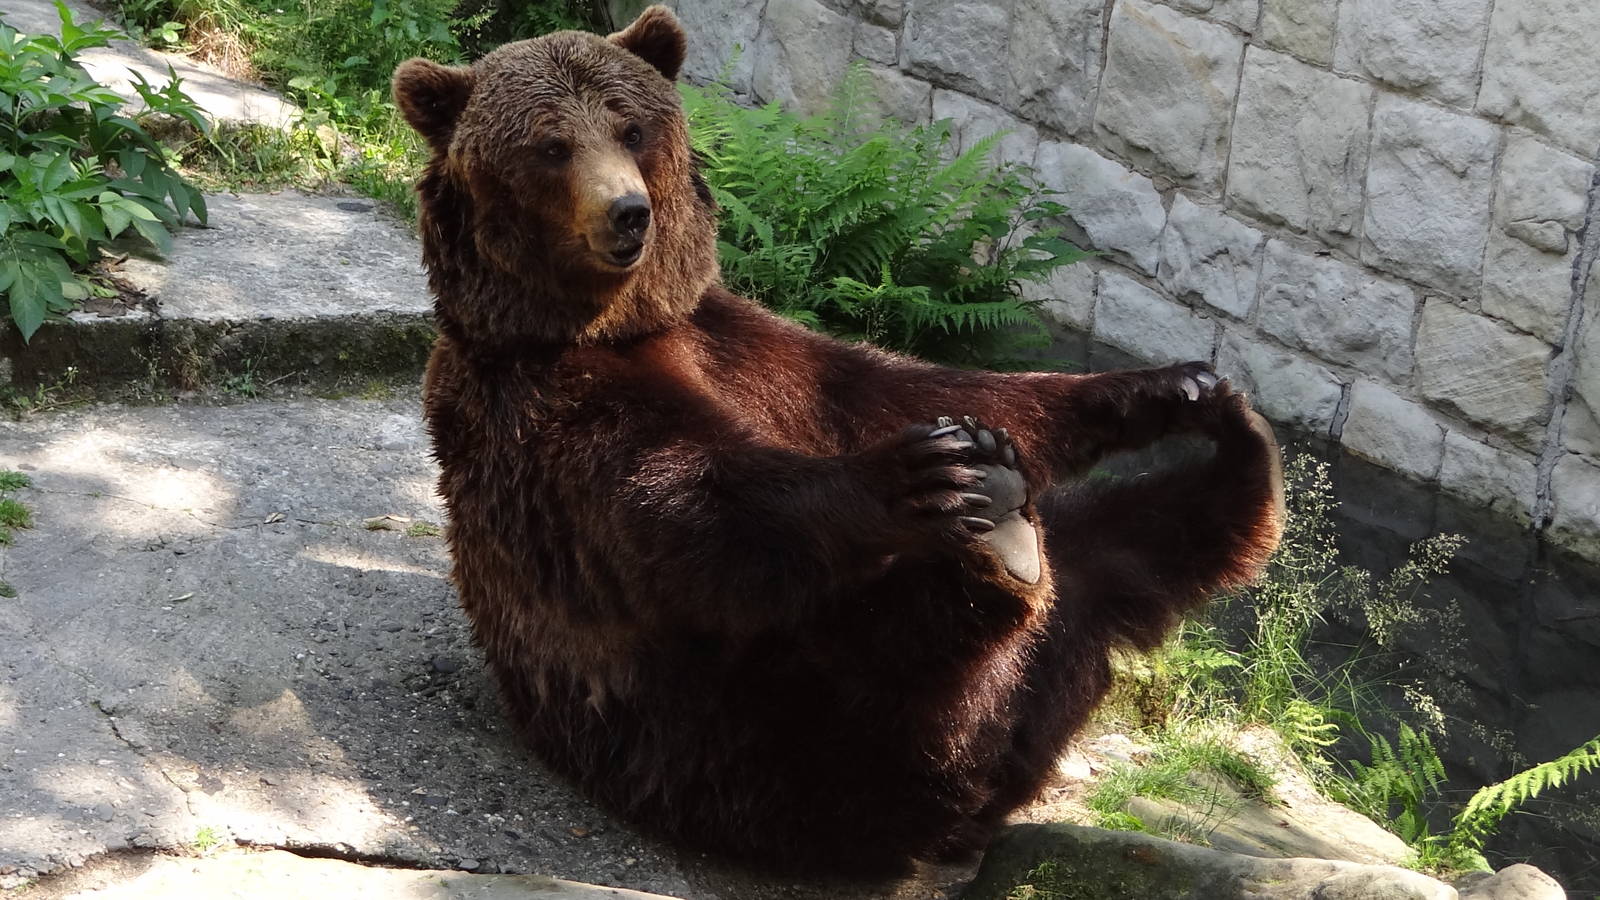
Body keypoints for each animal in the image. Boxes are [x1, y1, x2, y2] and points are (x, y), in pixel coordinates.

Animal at [393, 5, 1285, 878]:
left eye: (631, 127)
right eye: (551, 144)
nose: (627, 212)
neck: (615, 326)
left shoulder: (754, 347)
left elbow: (922, 388)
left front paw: (1168, 387)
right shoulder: (541, 412)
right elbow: (696, 509)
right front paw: (918, 471)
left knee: (1119, 550)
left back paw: (1239, 453)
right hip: (750, 735)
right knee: (889, 656)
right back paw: (999, 537)